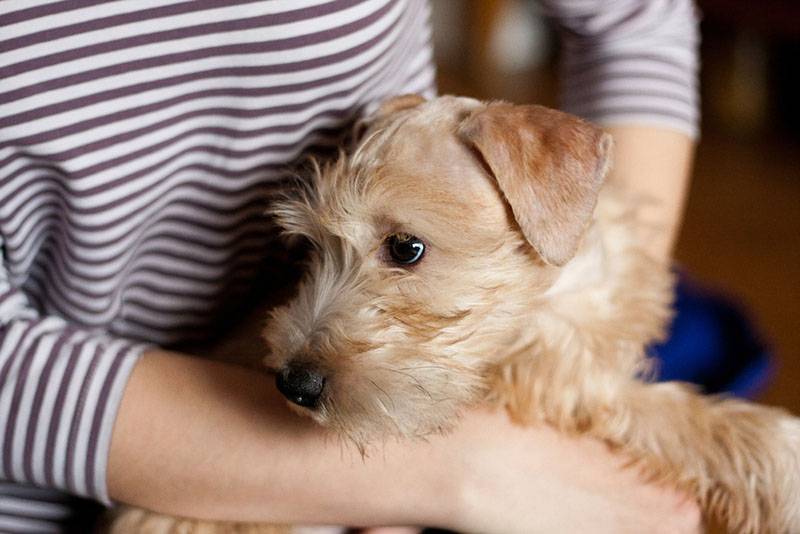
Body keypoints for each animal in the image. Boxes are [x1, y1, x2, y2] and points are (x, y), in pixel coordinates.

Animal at [111, 97, 800, 534]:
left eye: (406, 248)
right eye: (312, 248)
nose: (292, 385)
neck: (545, 299)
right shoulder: (566, 393)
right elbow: (675, 417)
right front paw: (783, 463)